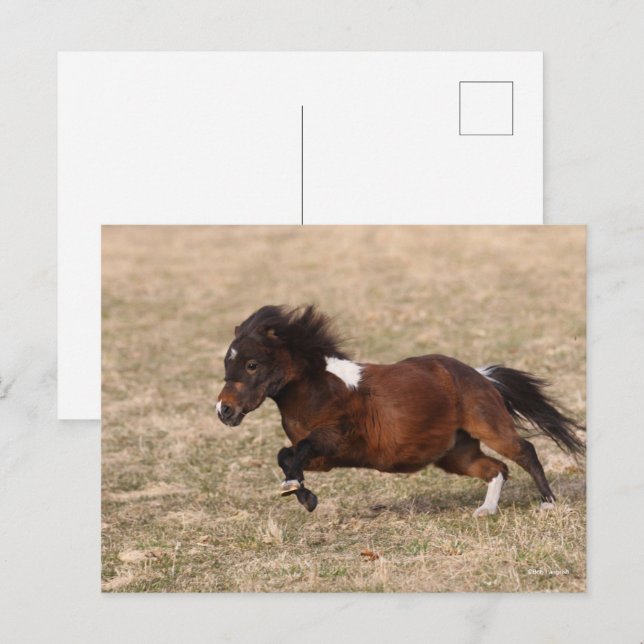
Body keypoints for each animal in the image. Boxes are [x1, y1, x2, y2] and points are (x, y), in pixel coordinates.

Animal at [215, 305, 585, 516]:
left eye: (251, 364)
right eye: (226, 363)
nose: (224, 410)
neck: (318, 389)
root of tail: (480, 375)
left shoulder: (335, 439)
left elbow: (298, 450)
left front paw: (297, 490)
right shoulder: (326, 459)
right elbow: (286, 455)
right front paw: (302, 494)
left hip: (488, 425)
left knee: (525, 451)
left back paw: (548, 503)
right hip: (456, 454)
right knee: (497, 469)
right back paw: (485, 510)